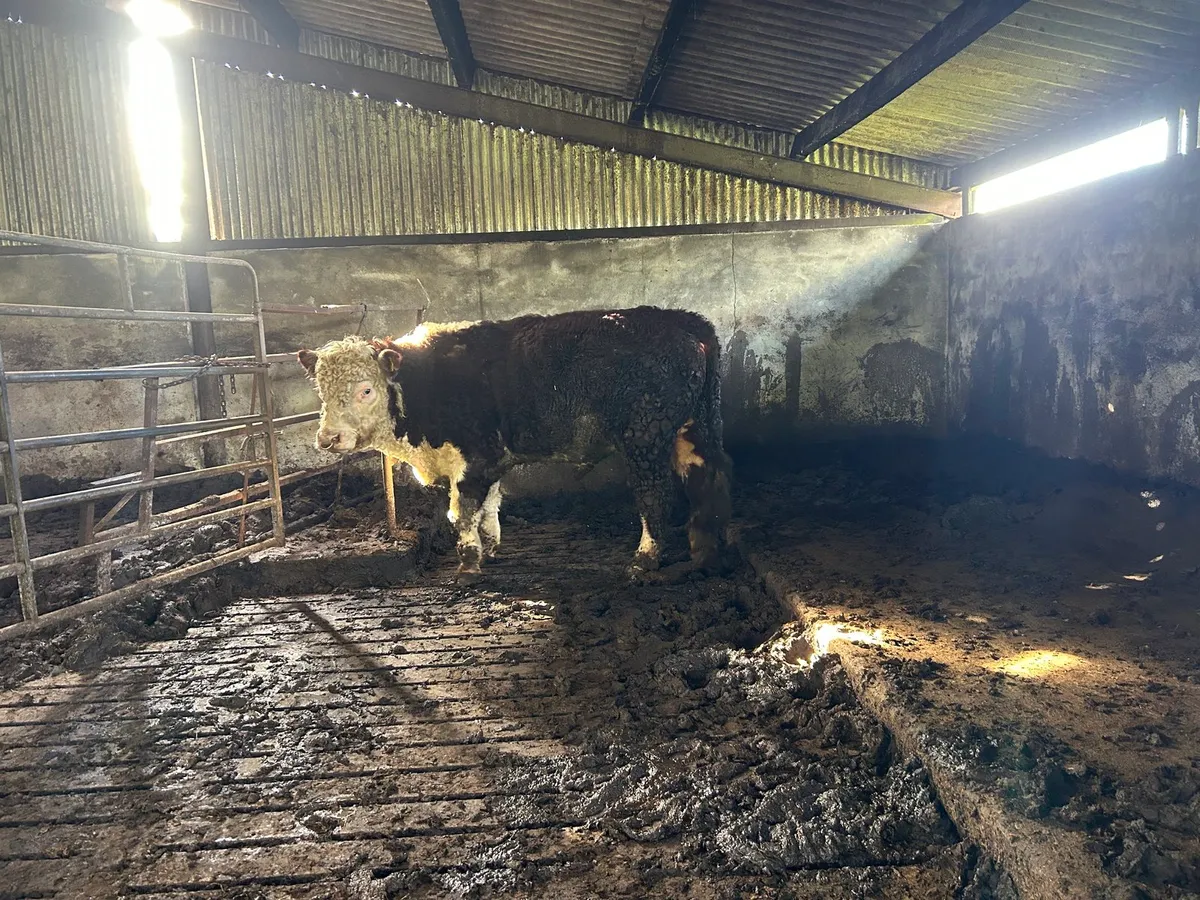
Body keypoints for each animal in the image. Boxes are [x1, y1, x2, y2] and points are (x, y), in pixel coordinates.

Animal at [298, 306, 732, 579]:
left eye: (366, 390)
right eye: (321, 390)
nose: (328, 438)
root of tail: (682, 320)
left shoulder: (473, 457)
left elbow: (463, 512)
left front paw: (468, 565)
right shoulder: (489, 461)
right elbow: (490, 505)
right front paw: (489, 548)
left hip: (645, 437)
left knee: (655, 496)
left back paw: (645, 559)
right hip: (694, 428)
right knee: (708, 481)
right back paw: (704, 552)